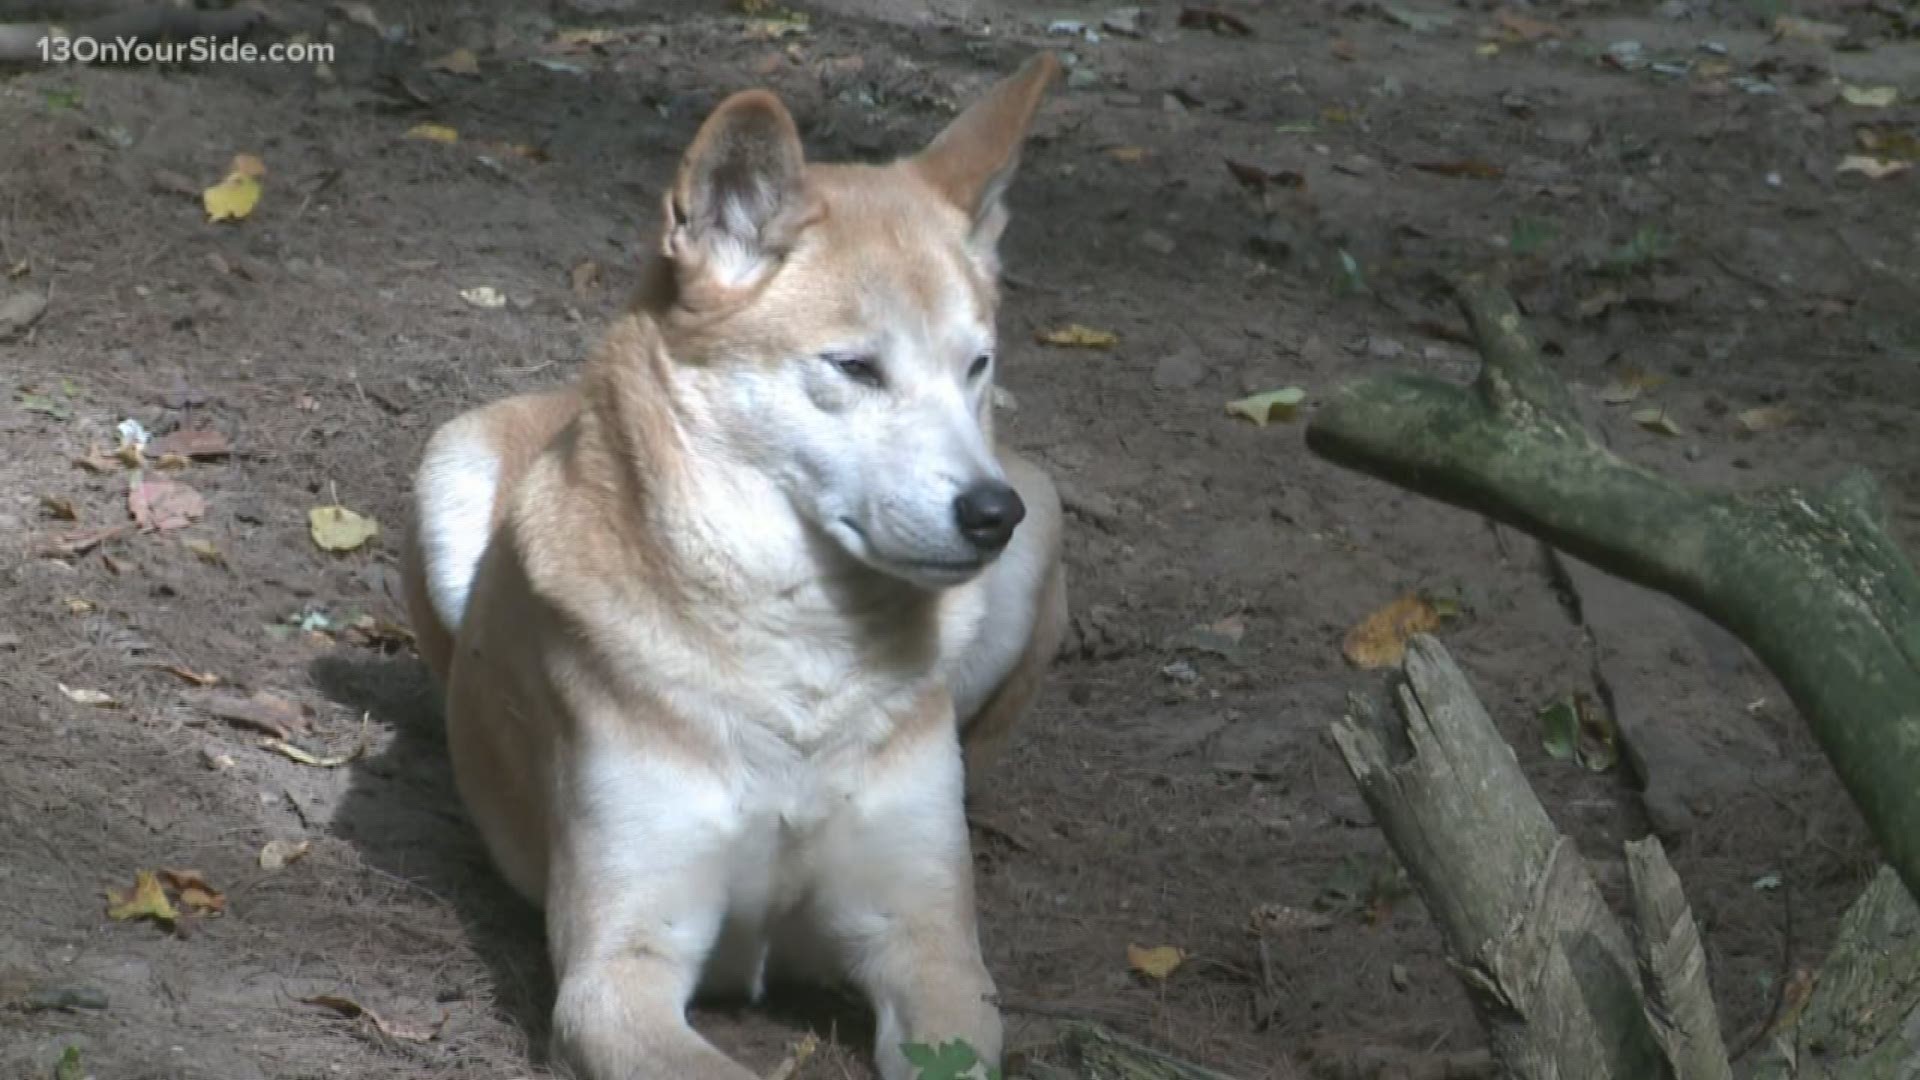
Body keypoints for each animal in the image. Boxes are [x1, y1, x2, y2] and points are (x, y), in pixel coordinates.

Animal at [399, 54, 1075, 1076]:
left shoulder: (929, 946)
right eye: (855, 367)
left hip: (1040, 537)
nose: (990, 513)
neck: (799, 659)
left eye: (977, 366)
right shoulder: (619, 967)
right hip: (447, 465)